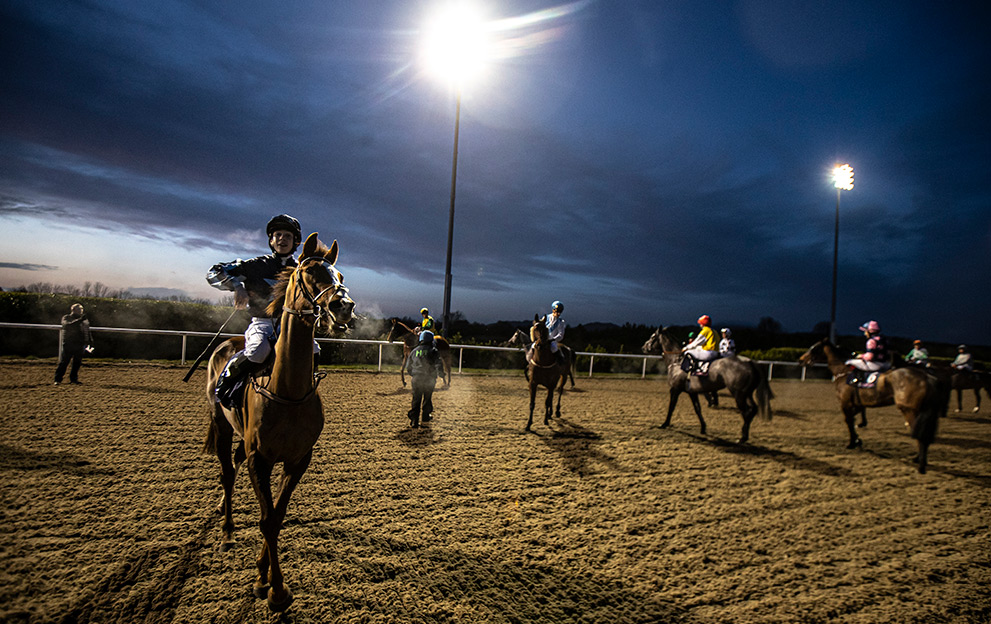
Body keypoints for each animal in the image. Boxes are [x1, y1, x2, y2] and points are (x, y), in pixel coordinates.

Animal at [203, 233, 354, 608]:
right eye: (311, 272)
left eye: (340, 275)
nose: (344, 306)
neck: (287, 390)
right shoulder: (261, 459)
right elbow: (267, 520)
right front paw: (274, 589)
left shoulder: (298, 459)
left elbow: (277, 515)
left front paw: (265, 578)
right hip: (222, 424)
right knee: (227, 473)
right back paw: (227, 531)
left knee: (233, 467)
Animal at [644, 326, 776, 444]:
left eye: (652, 336)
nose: (644, 347)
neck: (677, 360)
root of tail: (750, 362)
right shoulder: (692, 392)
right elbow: (697, 409)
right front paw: (703, 428)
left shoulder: (675, 389)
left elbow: (671, 407)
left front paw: (664, 424)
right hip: (747, 393)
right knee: (753, 409)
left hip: (739, 394)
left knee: (746, 411)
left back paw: (742, 437)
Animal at [800, 338, 944, 476]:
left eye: (813, 348)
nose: (801, 360)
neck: (843, 372)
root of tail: (928, 378)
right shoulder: (856, 404)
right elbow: (855, 420)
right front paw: (858, 439)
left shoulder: (845, 404)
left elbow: (849, 422)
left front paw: (852, 443)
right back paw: (918, 459)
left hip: (910, 411)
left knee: (920, 435)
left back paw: (920, 465)